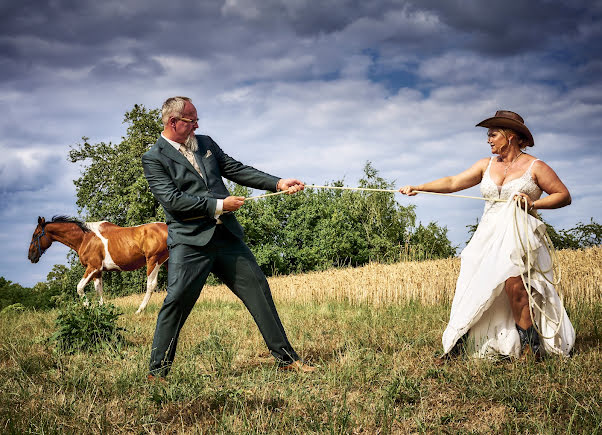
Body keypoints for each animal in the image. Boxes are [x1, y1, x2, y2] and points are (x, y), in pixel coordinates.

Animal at [28, 217, 168, 314]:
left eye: (35, 235)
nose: (31, 256)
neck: (85, 238)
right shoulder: (98, 272)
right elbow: (99, 291)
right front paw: (102, 311)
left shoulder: (92, 267)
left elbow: (79, 288)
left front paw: (87, 307)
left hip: (153, 261)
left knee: (151, 285)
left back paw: (139, 310)